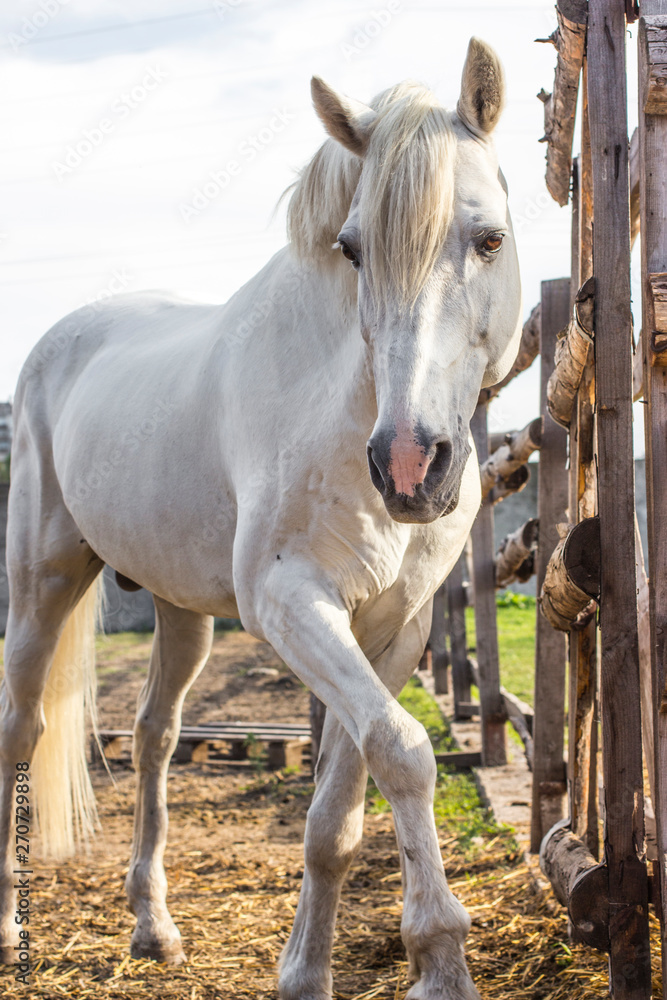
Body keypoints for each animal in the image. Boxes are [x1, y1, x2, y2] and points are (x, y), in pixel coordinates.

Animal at [0, 37, 521, 999]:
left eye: (489, 238)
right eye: (350, 249)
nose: (407, 465)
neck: (338, 406)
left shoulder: (391, 629)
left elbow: (336, 814)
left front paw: (306, 972)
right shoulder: (292, 605)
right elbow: (403, 752)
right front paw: (439, 959)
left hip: (180, 612)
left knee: (154, 736)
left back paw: (153, 928)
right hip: (42, 584)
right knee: (23, 730)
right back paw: (9, 929)